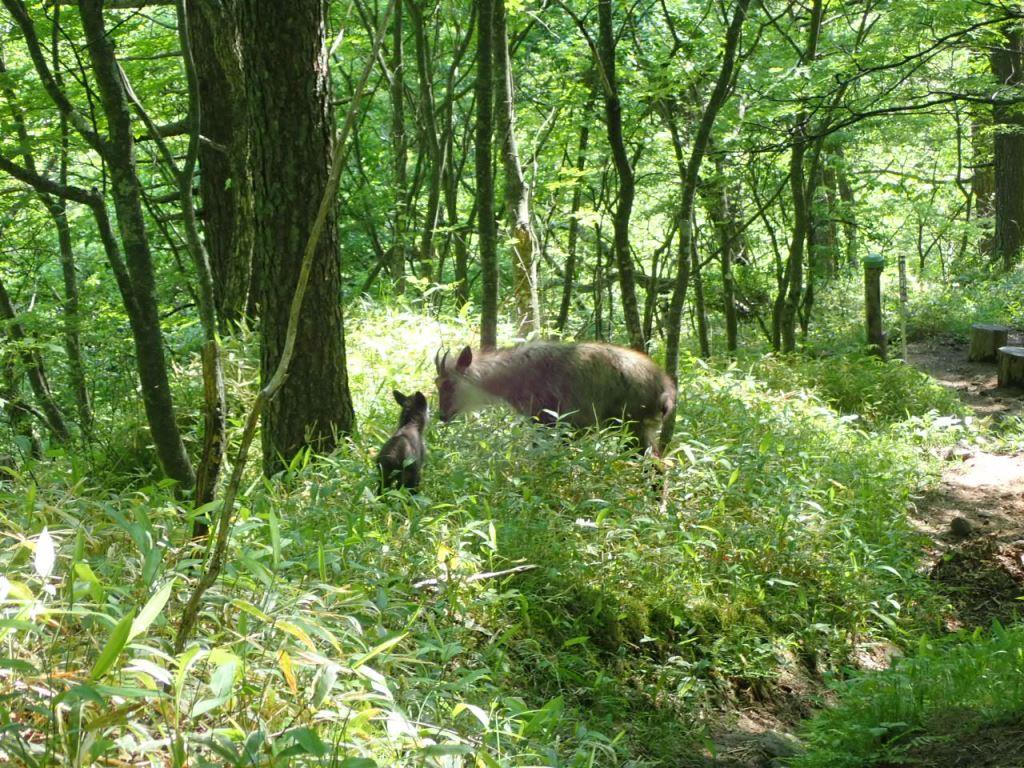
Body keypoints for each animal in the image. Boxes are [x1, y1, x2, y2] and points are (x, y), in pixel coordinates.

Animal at [436, 344, 675, 456]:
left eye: (449, 384)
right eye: (436, 383)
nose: (442, 415)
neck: (516, 375)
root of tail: (666, 389)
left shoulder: (548, 422)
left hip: (632, 429)